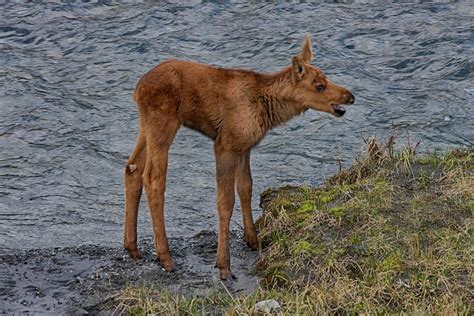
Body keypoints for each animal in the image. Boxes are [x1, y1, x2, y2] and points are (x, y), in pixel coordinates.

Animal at [124, 35, 354, 280]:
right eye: (319, 86)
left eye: (326, 77)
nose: (350, 96)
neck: (269, 110)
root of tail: (137, 89)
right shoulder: (226, 145)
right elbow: (225, 202)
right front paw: (224, 264)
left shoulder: (245, 147)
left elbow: (246, 188)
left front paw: (253, 239)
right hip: (163, 123)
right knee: (153, 179)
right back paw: (165, 257)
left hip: (146, 126)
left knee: (132, 168)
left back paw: (132, 247)